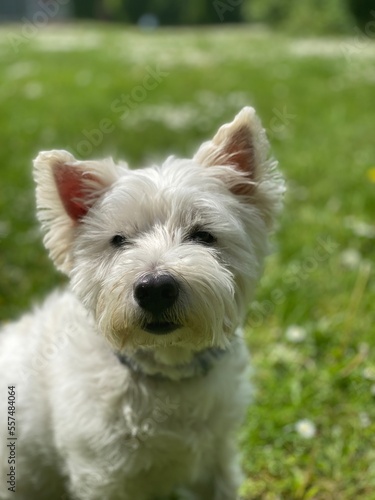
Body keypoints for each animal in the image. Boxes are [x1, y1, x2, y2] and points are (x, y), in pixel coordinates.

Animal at [0, 107, 284, 498]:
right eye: (118, 240)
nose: (155, 288)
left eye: (203, 235)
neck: (168, 372)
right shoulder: (102, 474)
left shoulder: (216, 456)